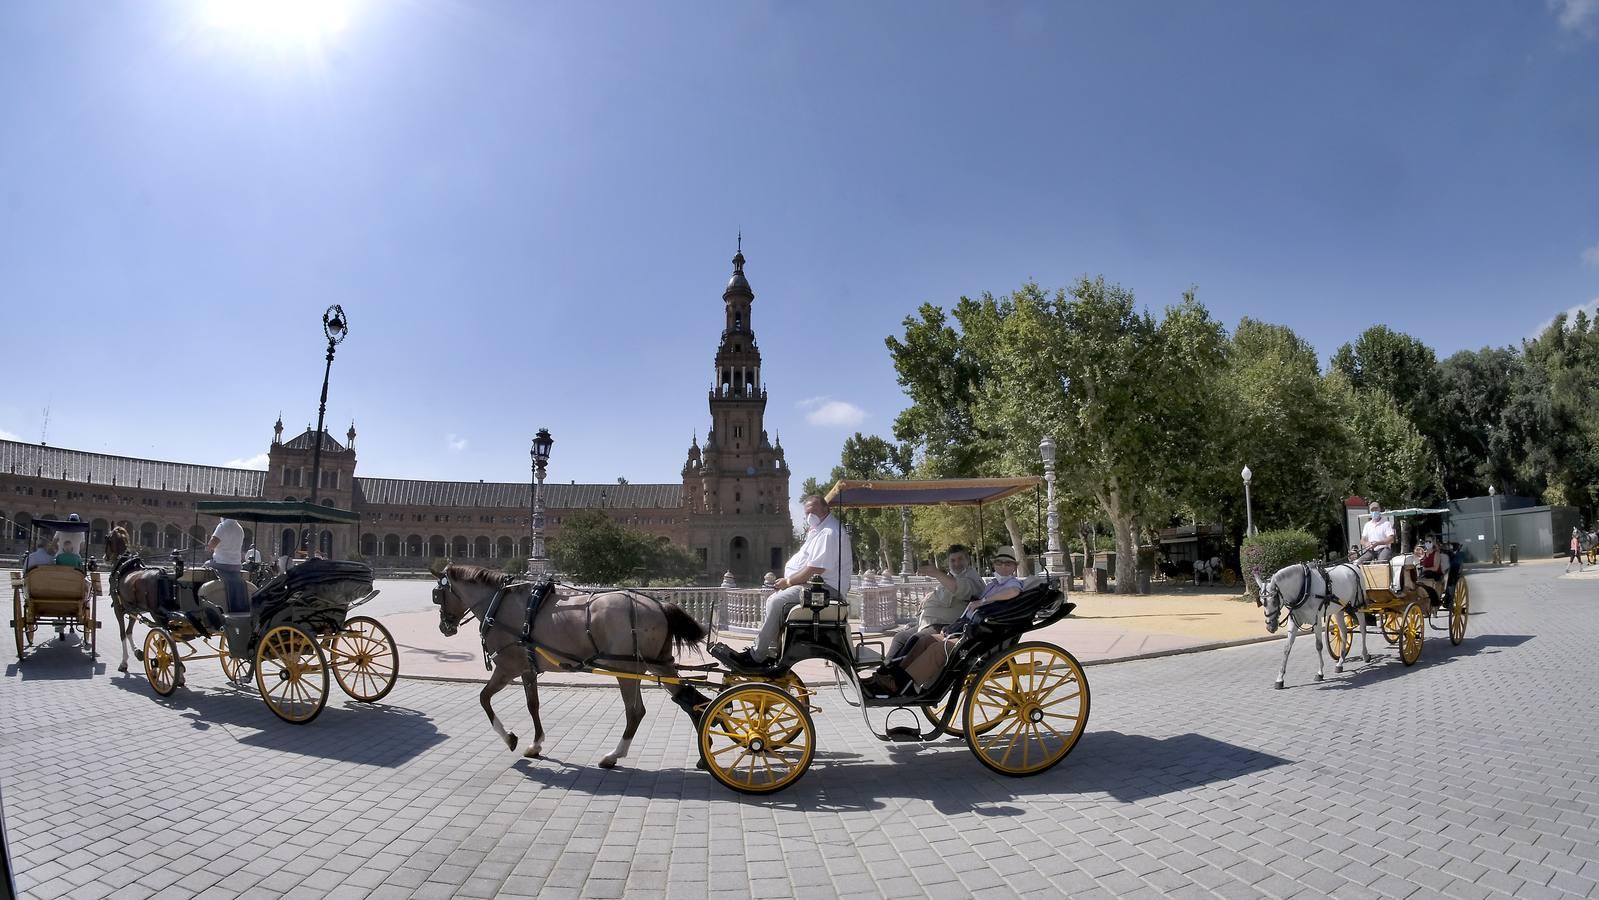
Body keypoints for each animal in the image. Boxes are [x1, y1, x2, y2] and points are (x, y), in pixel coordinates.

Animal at [434, 562, 716, 767]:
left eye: (438, 595)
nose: (444, 627)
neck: (499, 603)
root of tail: (659, 603)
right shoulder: (527, 668)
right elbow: (533, 705)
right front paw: (536, 744)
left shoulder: (507, 668)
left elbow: (484, 698)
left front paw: (510, 738)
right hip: (659, 664)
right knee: (690, 700)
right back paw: (705, 755)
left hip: (627, 670)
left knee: (636, 712)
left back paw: (614, 755)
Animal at [1253, 562, 1368, 690]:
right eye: (1261, 602)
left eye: (1274, 601)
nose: (1270, 627)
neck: (1304, 587)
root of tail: (1353, 565)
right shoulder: (1293, 622)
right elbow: (1287, 648)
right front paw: (1280, 679)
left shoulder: (1316, 621)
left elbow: (1319, 646)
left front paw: (1320, 673)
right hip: (1339, 609)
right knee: (1343, 632)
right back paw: (1340, 662)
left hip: (1358, 605)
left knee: (1363, 629)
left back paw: (1365, 655)